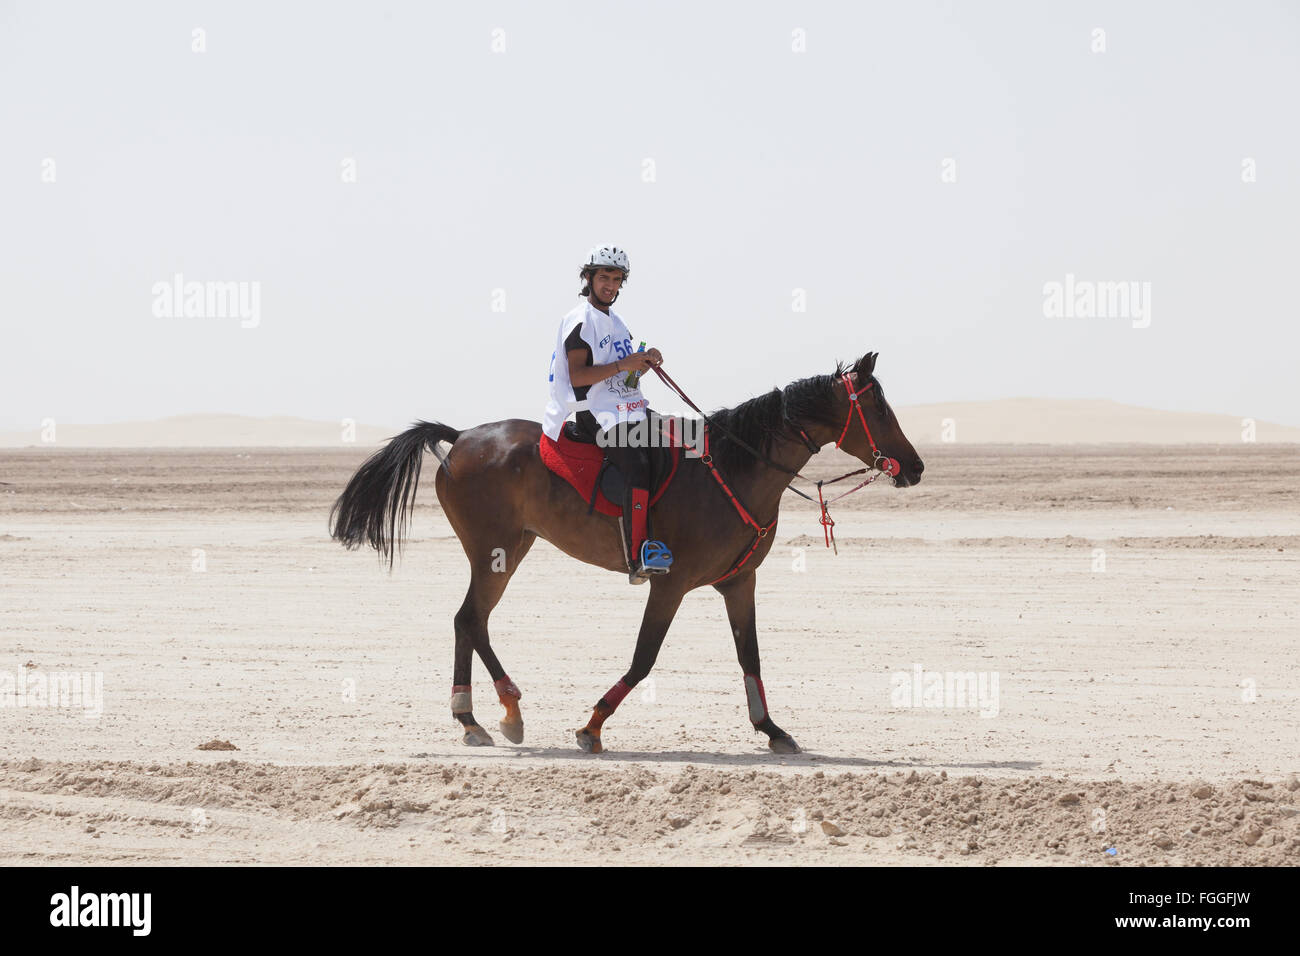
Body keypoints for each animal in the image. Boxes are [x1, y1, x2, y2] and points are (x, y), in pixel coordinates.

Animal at [330, 351, 920, 754]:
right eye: (878, 408)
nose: (914, 467)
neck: (737, 468)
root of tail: (462, 437)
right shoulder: (670, 583)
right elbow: (644, 658)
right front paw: (591, 726)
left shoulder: (739, 582)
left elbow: (749, 657)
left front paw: (772, 729)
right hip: (494, 550)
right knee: (470, 619)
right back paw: (497, 710)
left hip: (511, 548)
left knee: (467, 620)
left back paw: (481, 716)